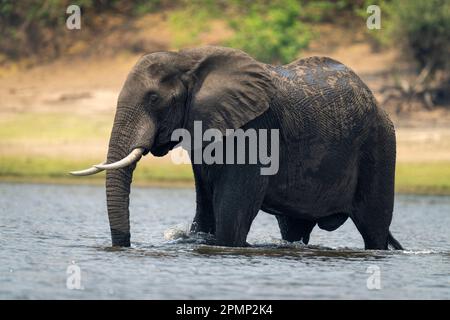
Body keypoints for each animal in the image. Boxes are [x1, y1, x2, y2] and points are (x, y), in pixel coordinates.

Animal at [71, 45, 404, 250]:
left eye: (154, 98)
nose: (125, 245)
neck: (186, 58)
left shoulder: (255, 130)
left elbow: (231, 220)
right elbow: (205, 210)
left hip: (380, 146)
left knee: (373, 228)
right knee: (294, 229)